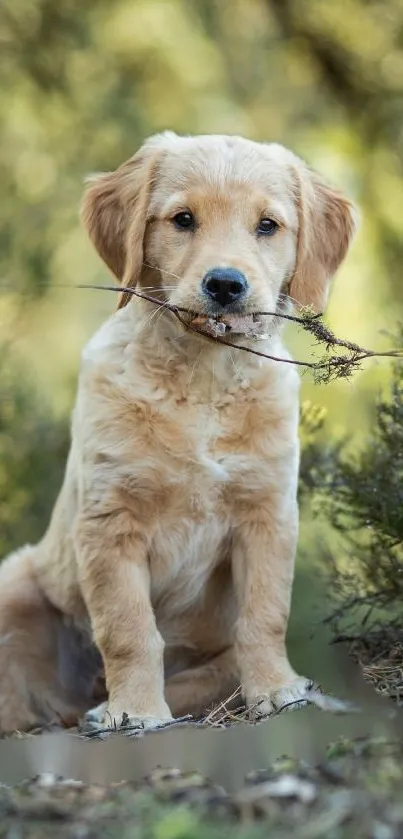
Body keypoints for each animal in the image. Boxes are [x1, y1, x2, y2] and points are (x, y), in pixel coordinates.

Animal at [0, 130, 356, 728]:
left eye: (267, 225)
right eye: (183, 219)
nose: (226, 285)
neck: (204, 380)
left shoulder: (267, 514)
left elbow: (265, 615)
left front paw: (277, 690)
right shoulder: (110, 522)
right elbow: (129, 630)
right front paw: (138, 713)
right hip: (16, 584)